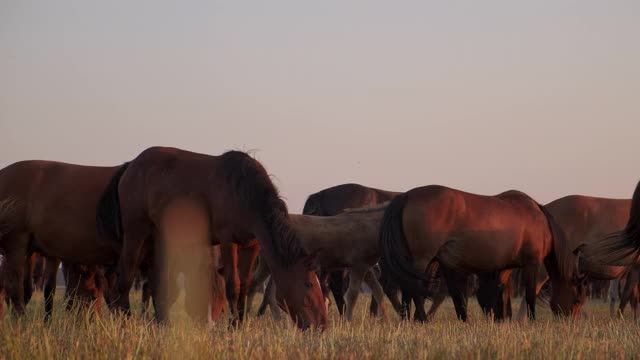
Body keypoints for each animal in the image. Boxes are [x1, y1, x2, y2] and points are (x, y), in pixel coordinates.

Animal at [97, 146, 328, 330]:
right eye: (308, 284)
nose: (322, 325)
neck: (245, 194)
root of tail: (130, 166)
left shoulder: (251, 245)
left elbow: (245, 286)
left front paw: (239, 324)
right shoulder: (228, 240)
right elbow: (233, 286)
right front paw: (232, 327)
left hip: (155, 239)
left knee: (155, 282)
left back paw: (163, 323)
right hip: (136, 233)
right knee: (125, 277)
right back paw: (125, 322)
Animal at [378, 186, 568, 320]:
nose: (568, 319)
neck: (538, 218)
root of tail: (406, 196)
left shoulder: (505, 267)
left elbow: (498, 293)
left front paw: (501, 319)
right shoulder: (532, 263)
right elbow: (529, 295)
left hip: (422, 261)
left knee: (409, 288)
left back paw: (408, 319)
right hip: (421, 260)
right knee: (413, 288)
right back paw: (421, 319)